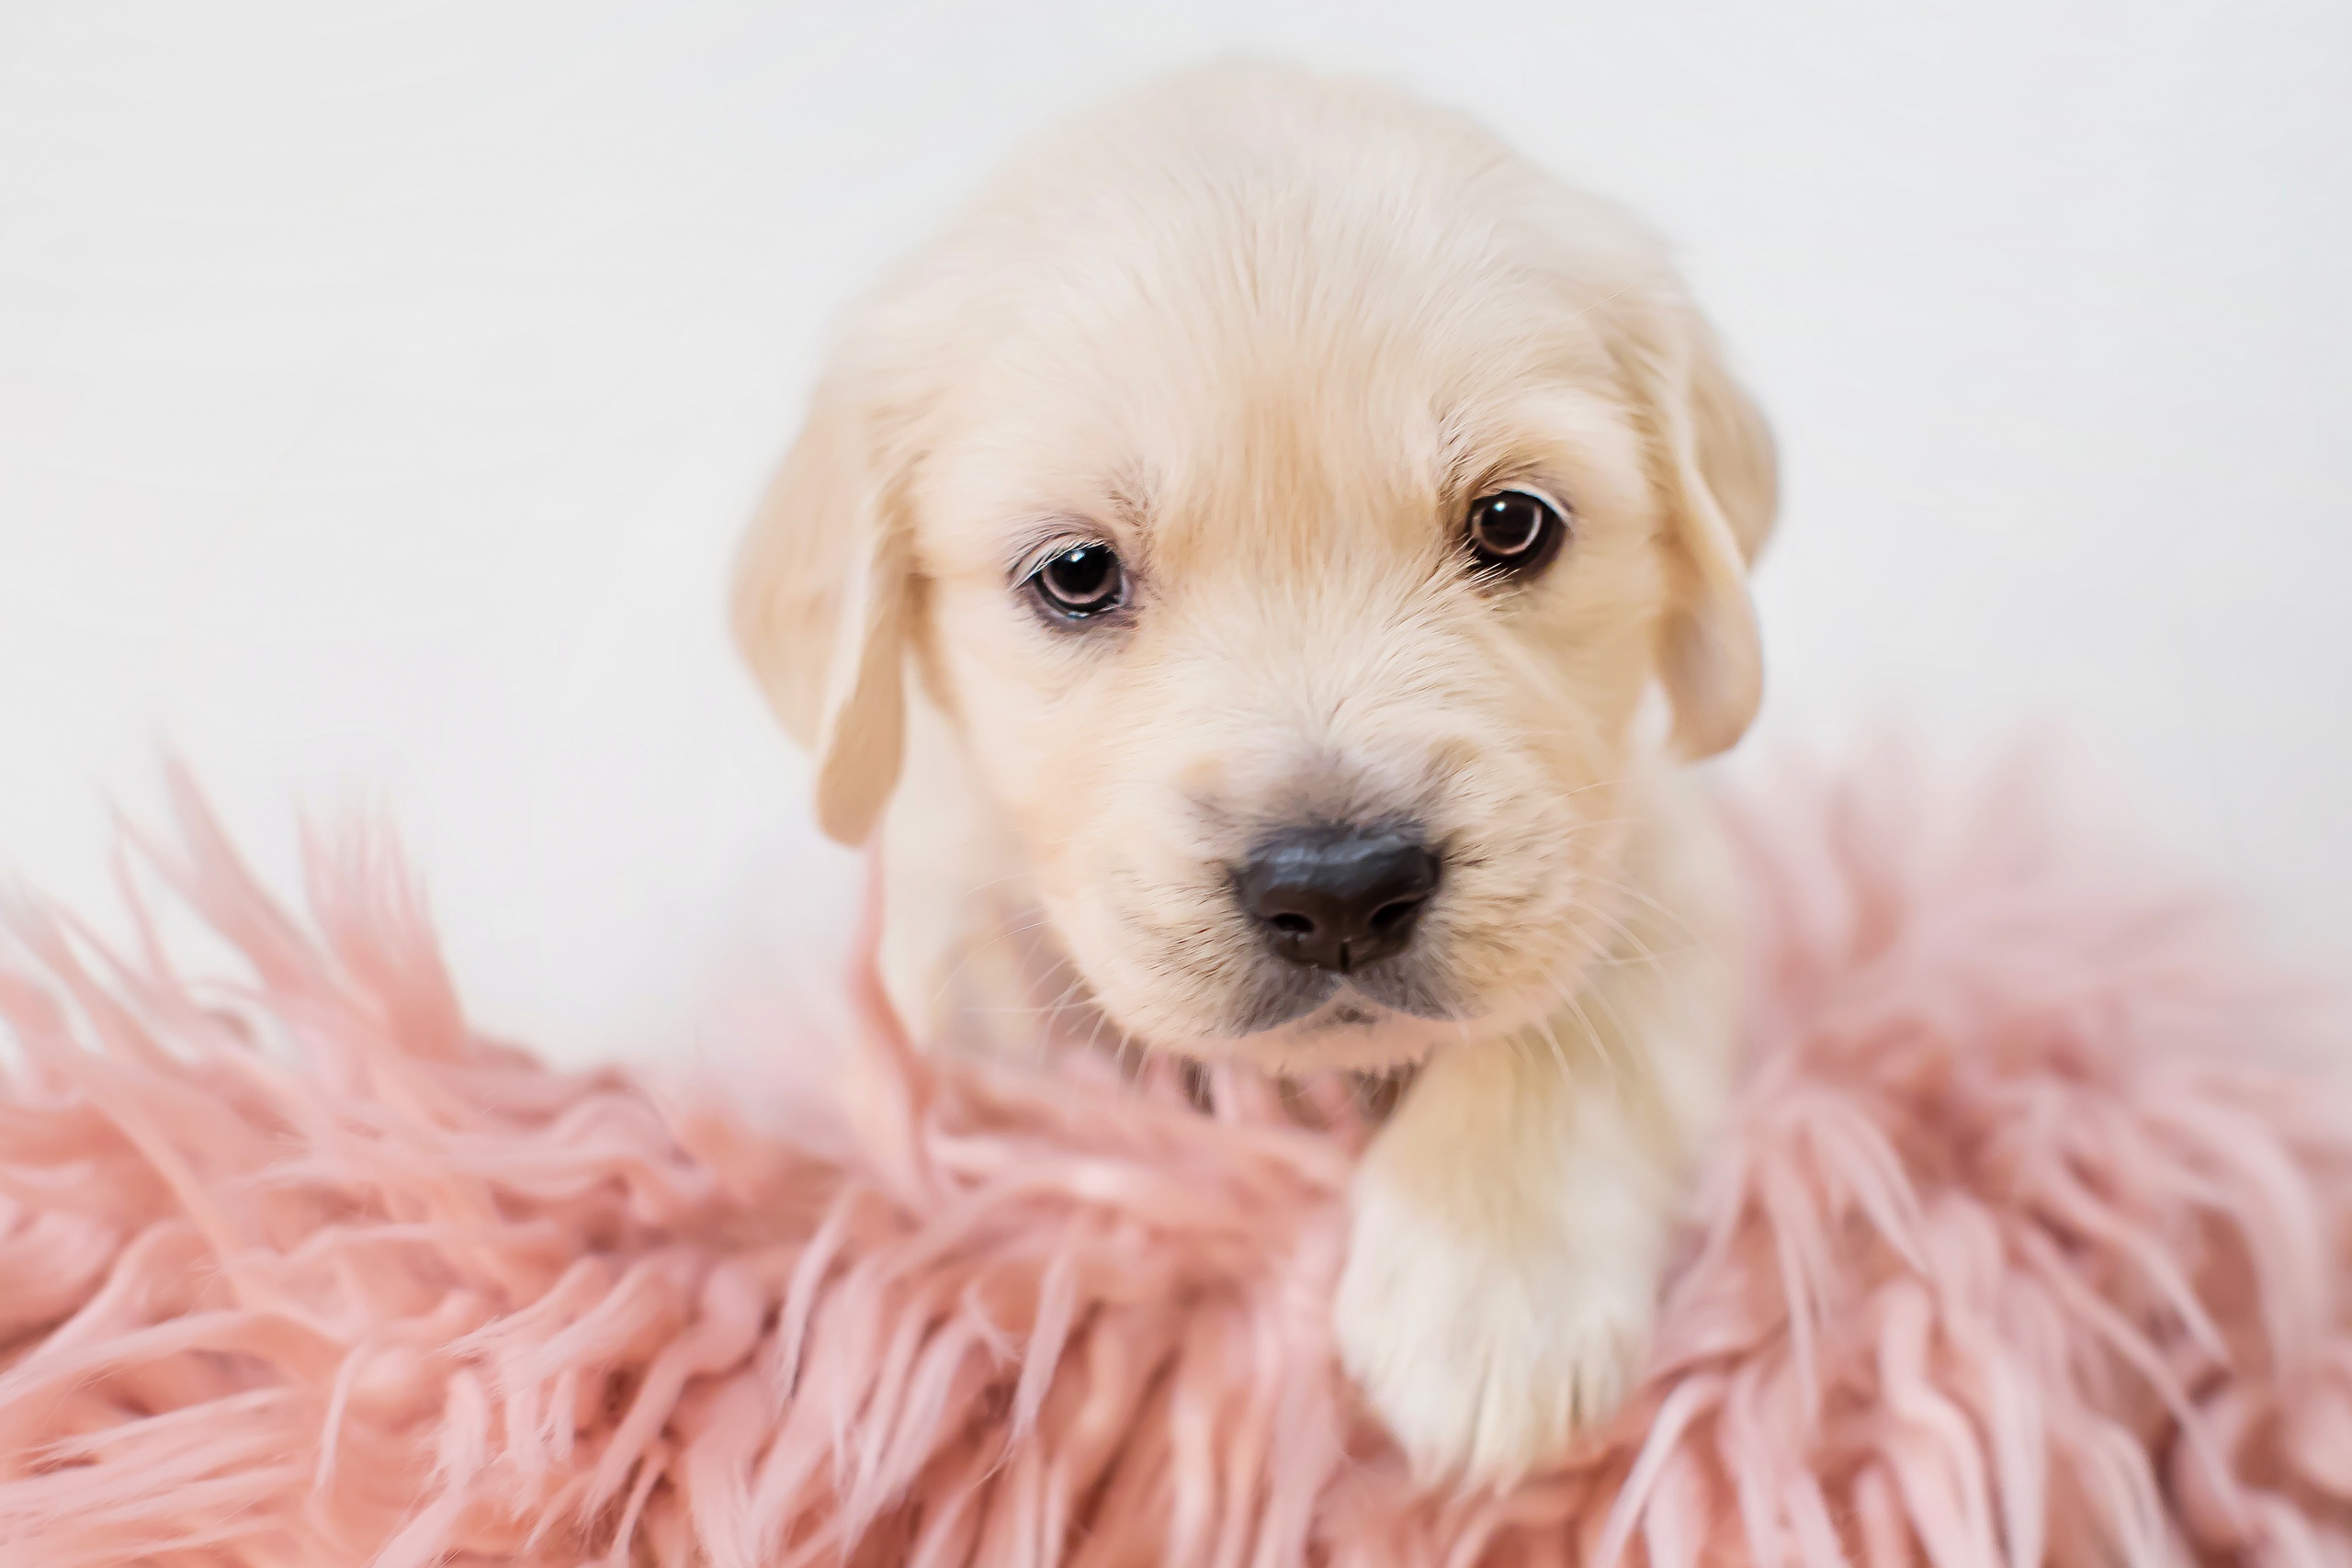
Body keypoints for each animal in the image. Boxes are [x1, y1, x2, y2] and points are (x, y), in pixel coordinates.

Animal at [724, 64, 1769, 1485]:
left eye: (1513, 523)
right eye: (1076, 573)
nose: (1340, 891)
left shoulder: (1657, 846)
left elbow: (1583, 1010)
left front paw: (1491, 1299)